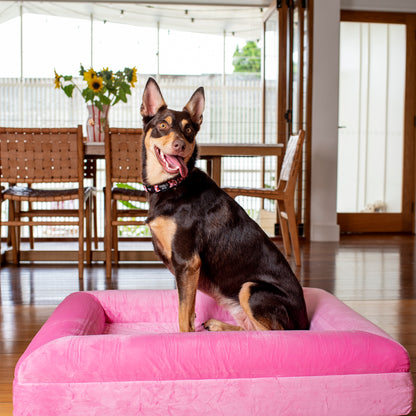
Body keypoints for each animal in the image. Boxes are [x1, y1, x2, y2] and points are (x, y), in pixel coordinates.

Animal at [141, 77, 308, 332]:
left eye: (188, 130)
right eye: (162, 125)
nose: (180, 145)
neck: (171, 184)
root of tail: (306, 322)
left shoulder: (187, 262)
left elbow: (183, 316)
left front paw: (183, 338)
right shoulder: (185, 269)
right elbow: (188, 311)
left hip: (251, 288)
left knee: (268, 333)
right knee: (249, 330)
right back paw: (217, 326)